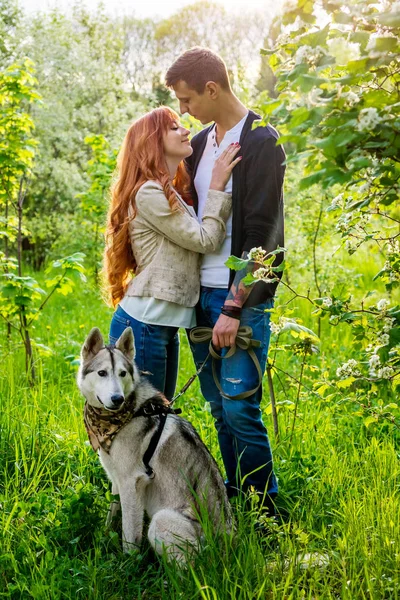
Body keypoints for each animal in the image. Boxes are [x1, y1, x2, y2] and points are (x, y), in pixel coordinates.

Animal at [77, 326, 233, 560]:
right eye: (102, 373)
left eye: (122, 373)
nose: (117, 399)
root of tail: (226, 549)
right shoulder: (117, 480)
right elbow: (112, 513)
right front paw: (105, 537)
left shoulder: (131, 483)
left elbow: (129, 533)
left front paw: (128, 562)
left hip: (162, 521)